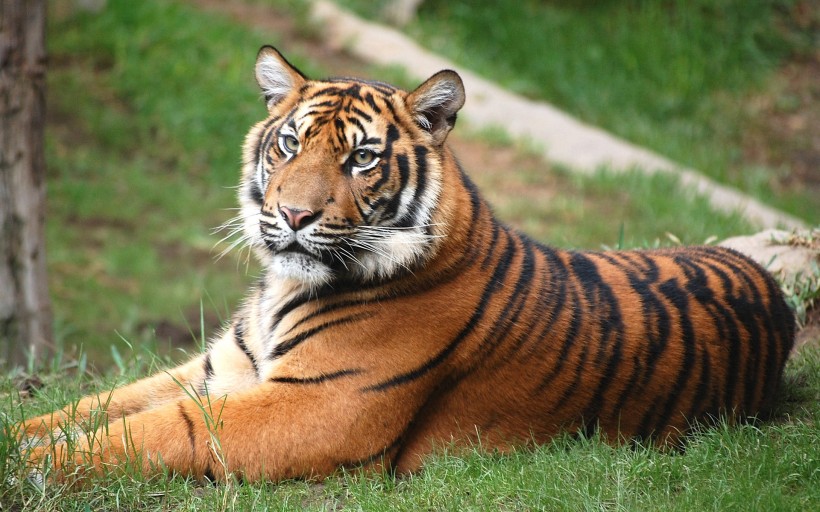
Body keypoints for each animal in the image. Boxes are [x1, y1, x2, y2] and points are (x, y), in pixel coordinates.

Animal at [19, 46, 795, 484]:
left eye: (361, 158)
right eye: (289, 144)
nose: (293, 216)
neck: (282, 290)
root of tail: (769, 284)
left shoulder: (316, 406)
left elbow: (150, 431)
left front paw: (30, 469)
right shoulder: (218, 368)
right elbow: (93, 406)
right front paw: (23, 433)